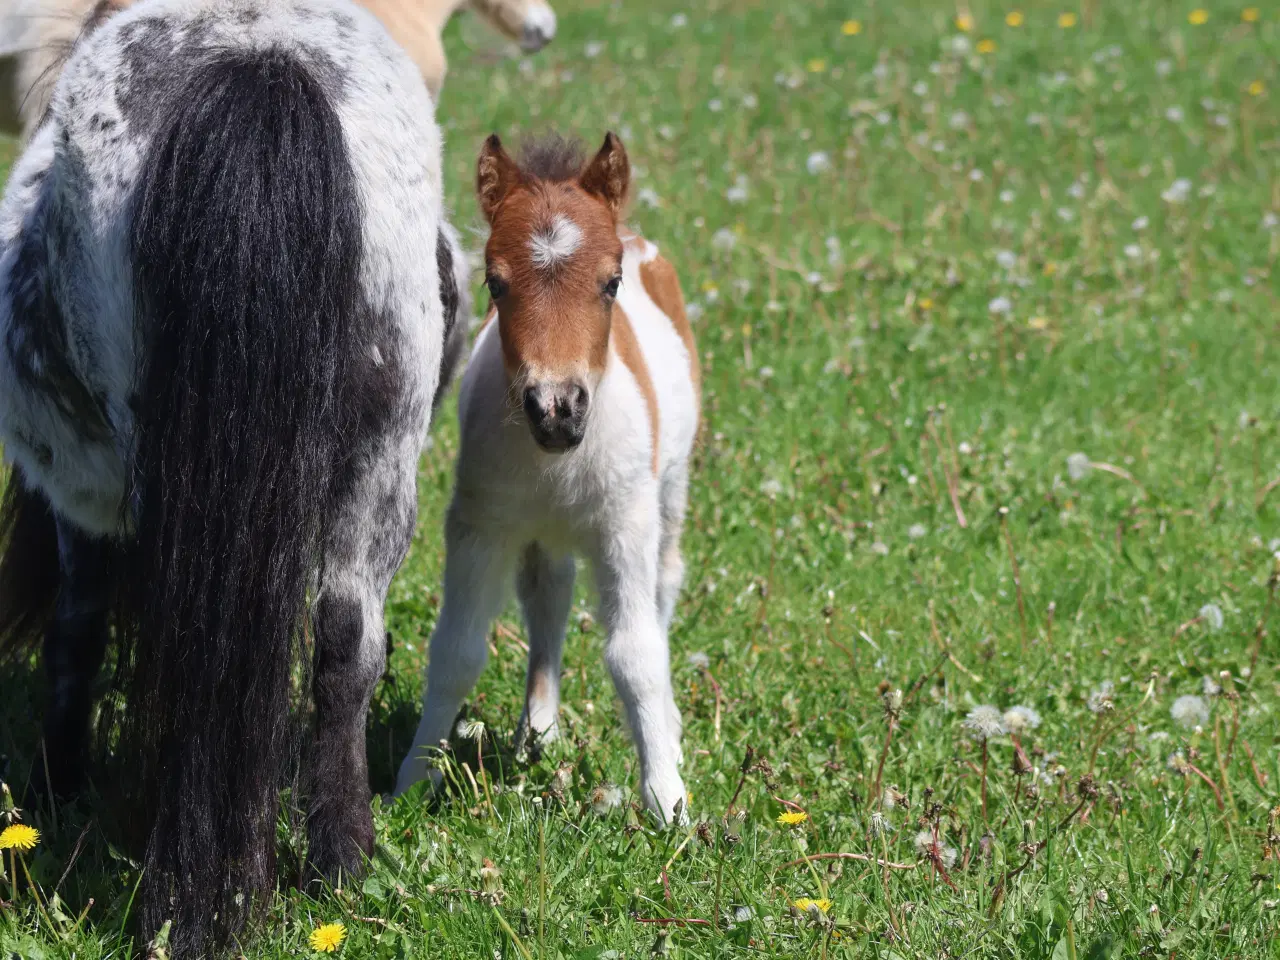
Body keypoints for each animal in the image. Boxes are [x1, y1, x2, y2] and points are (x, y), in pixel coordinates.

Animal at [0, 0, 465, 957]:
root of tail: (260, 62)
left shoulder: (82, 510)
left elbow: (75, 634)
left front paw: (59, 786)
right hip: (383, 458)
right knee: (343, 642)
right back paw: (338, 861)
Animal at [399, 131, 701, 824]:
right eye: (495, 282)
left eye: (611, 283)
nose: (556, 409)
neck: (557, 463)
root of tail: (636, 234)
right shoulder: (479, 526)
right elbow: (456, 649)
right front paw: (411, 780)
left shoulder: (625, 526)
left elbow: (637, 655)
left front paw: (668, 802)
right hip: (542, 534)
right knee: (549, 594)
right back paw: (537, 730)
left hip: (668, 496)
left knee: (664, 586)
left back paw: (667, 729)